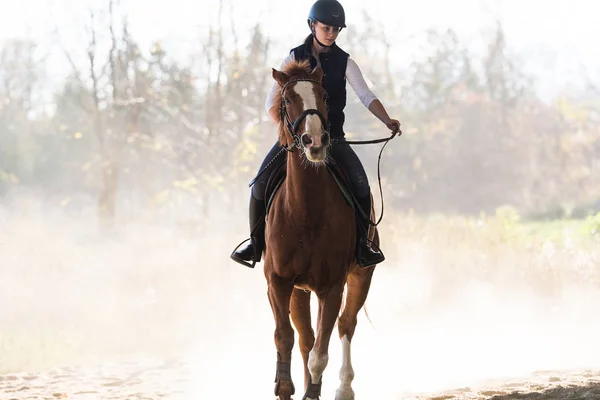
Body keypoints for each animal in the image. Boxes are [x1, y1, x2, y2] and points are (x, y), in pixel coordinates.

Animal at [264, 60, 380, 400]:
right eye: (287, 100)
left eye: (324, 97)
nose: (314, 141)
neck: (305, 213)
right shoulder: (279, 282)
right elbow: (285, 337)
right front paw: (284, 385)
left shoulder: (332, 287)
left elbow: (320, 353)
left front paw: (312, 390)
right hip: (299, 291)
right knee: (305, 337)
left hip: (361, 276)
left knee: (345, 325)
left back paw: (344, 388)